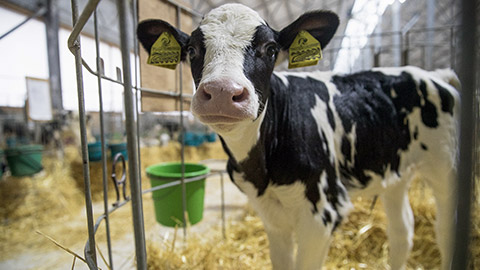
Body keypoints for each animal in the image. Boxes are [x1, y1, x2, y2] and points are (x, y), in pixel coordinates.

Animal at [137, 4, 460, 270]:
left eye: (270, 48)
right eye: (192, 49)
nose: (221, 92)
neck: (261, 170)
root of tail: (432, 75)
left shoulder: (322, 211)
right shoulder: (270, 214)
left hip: (444, 165)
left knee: (446, 230)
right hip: (394, 172)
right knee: (402, 230)